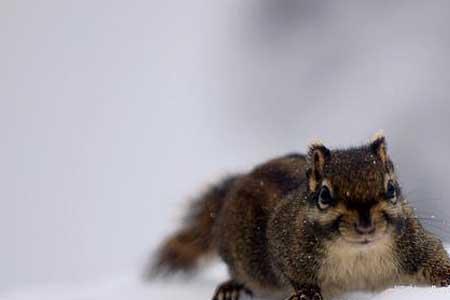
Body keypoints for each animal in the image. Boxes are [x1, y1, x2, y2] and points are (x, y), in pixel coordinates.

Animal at [151, 134, 450, 300]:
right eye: (324, 195)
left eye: (391, 188)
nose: (365, 225)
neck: (360, 253)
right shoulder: (286, 241)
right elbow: (290, 269)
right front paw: (307, 294)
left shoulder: (415, 246)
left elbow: (436, 258)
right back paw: (230, 288)